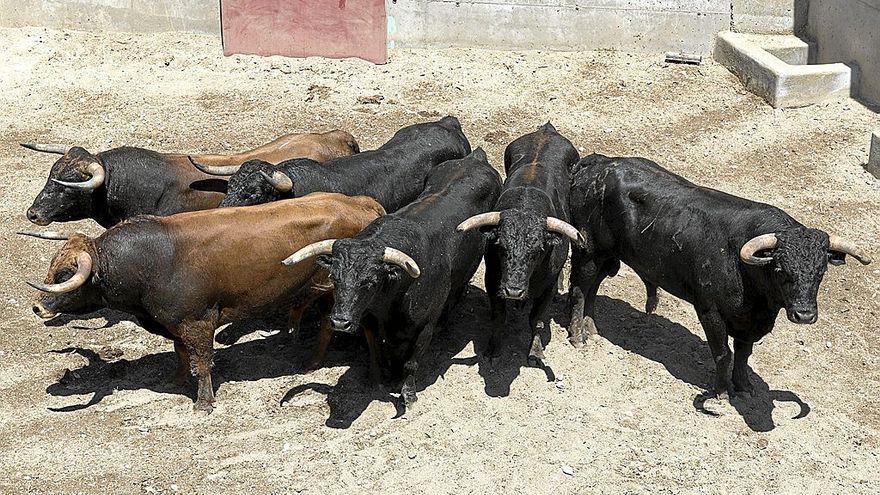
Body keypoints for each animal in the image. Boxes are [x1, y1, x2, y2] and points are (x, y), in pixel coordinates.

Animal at [23, 192, 382, 412]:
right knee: (327, 323)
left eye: (66, 272)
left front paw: (204, 402)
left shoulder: (199, 322)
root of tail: (363, 204)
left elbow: (203, 361)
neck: (151, 260)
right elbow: (181, 352)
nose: (38, 307)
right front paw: (177, 379)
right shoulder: (175, 323)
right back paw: (312, 362)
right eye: (53, 266)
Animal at [568, 157, 868, 402]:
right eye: (781, 271)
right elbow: (723, 352)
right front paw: (722, 392)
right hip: (588, 251)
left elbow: (743, 354)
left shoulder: (749, 322)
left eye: (821, 272)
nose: (804, 315)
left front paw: (744, 386)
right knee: (580, 288)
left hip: (607, 256)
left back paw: (591, 328)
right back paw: (577, 335)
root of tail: (597, 163)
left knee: (593, 287)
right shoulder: (709, 310)